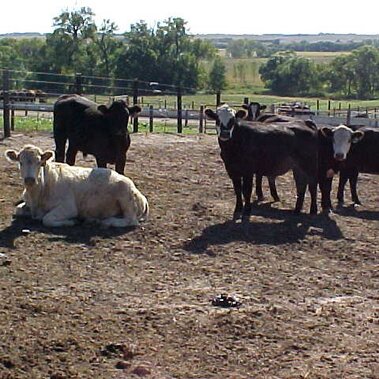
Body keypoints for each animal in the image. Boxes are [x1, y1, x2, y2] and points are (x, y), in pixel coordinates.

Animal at [5, 144, 150, 227]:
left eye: (39, 162)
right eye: (20, 162)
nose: (29, 180)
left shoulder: (69, 207)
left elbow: (47, 219)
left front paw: (72, 221)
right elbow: (17, 210)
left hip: (126, 196)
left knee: (131, 220)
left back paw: (108, 221)